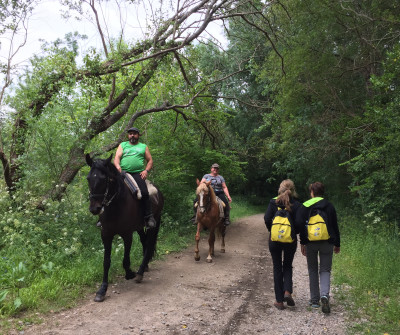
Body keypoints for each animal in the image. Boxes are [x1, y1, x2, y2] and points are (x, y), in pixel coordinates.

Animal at [86, 154, 164, 304]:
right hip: (139, 227)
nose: (95, 209)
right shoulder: (106, 235)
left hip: (155, 223)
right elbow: (106, 262)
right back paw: (144, 267)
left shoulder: (127, 234)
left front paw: (130, 273)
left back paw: (140, 272)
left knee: (149, 245)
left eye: (105, 179)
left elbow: (126, 260)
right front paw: (102, 290)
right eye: (88, 178)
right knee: (145, 242)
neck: (116, 204)